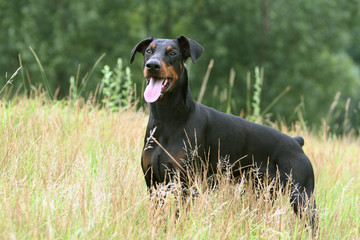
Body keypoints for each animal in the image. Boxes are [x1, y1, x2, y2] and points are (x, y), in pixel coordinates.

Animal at [131, 36, 316, 224]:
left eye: (173, 53)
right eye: (149, 51)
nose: (152, 65)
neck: (167, 119)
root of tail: (296, 142)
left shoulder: (186, 185)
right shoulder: (154, 185)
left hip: (302, 197)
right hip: (263, 193)